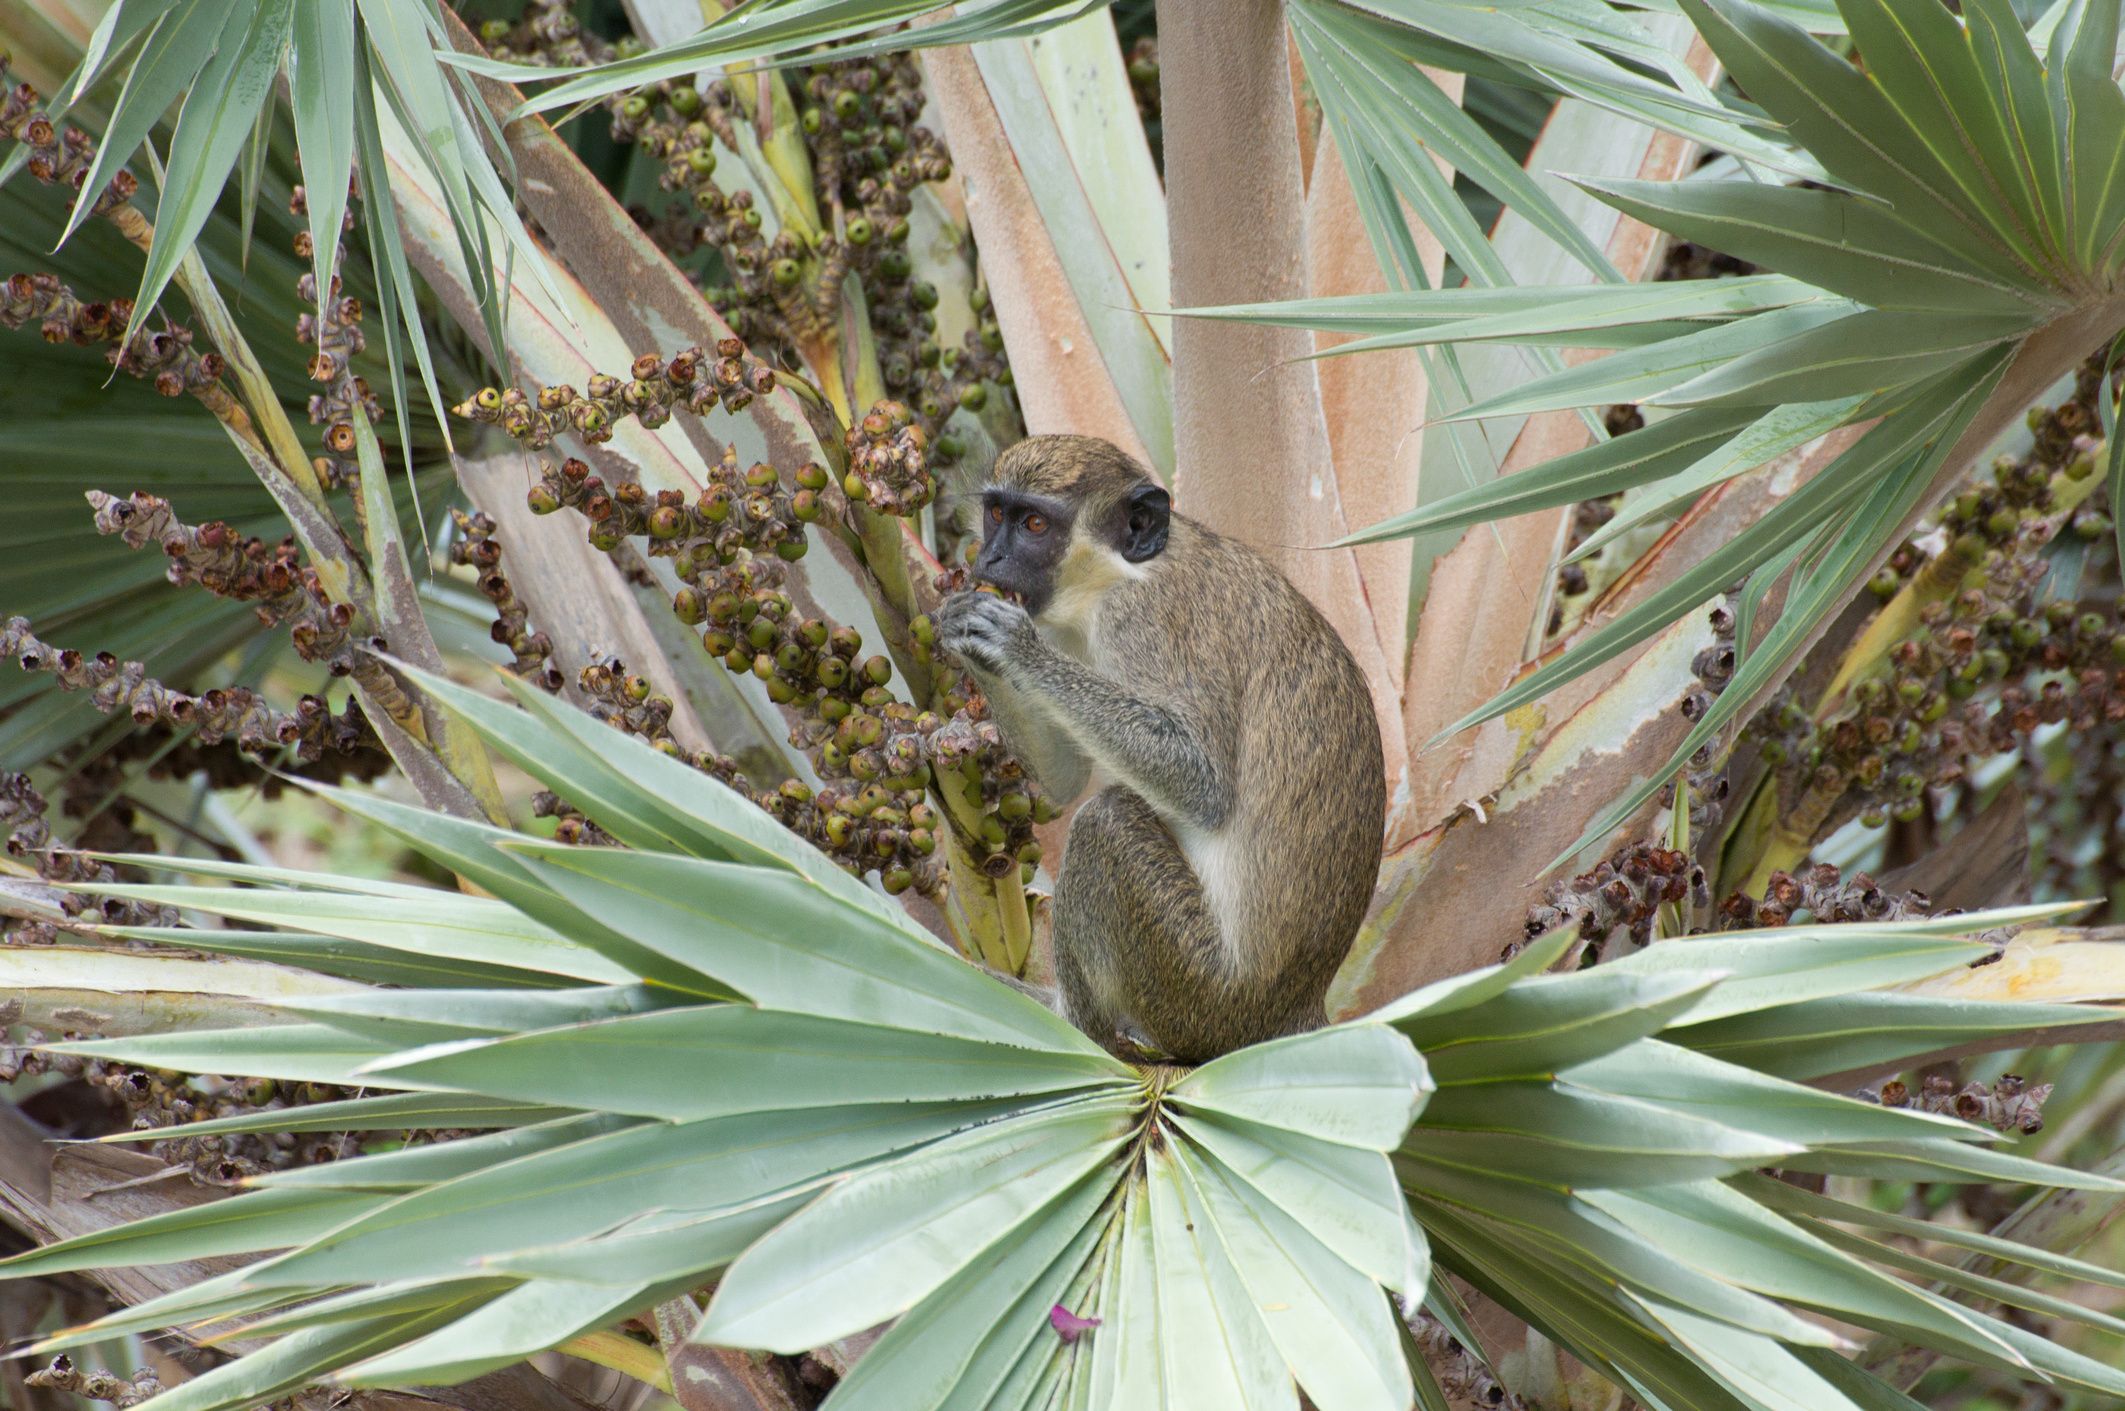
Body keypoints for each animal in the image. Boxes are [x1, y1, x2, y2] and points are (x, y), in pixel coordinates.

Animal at [932, 435, 1385, 1063]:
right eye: (997, 513)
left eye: (1034, 524)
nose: (989, 561)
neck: (1119, 574)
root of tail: (1289, 1010)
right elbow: (1063, 780)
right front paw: (964, 627)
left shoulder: (1147, 621)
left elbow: (1203, 785)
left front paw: (1013, 645)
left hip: (1194, 990)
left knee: (1104, 820)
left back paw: (1071, 1024)